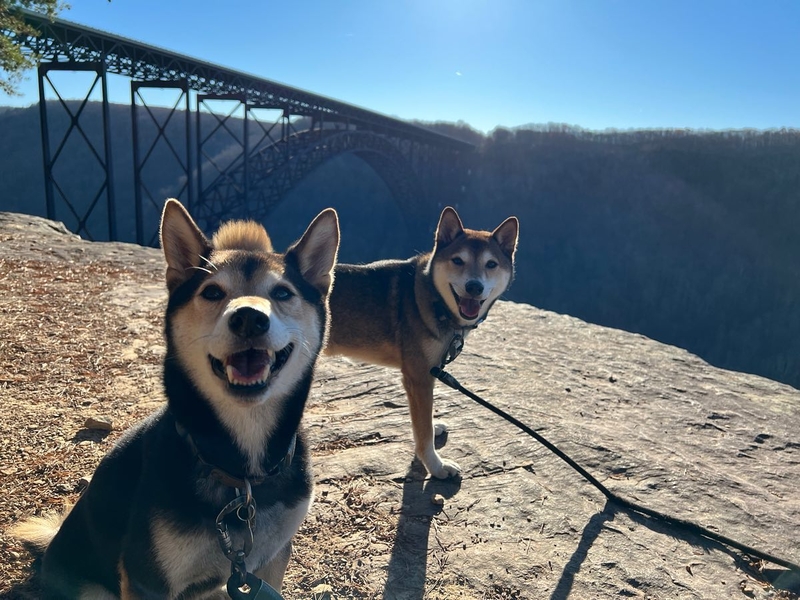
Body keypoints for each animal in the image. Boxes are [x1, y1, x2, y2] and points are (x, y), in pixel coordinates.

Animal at [12, 199, 338, 596]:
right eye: (212, 292)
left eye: (282, 293)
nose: (249, 318)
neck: (240, 475)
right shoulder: (146, 577)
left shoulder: (271, 561)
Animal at [324, 206, 520, 478]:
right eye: (457, 260)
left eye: (491, 264)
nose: (474, 286)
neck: (433, 300)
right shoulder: (418, 377)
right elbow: (423, 433)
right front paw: (436, 466)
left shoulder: (427, 376)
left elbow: (423, 421)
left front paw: (432, 425)